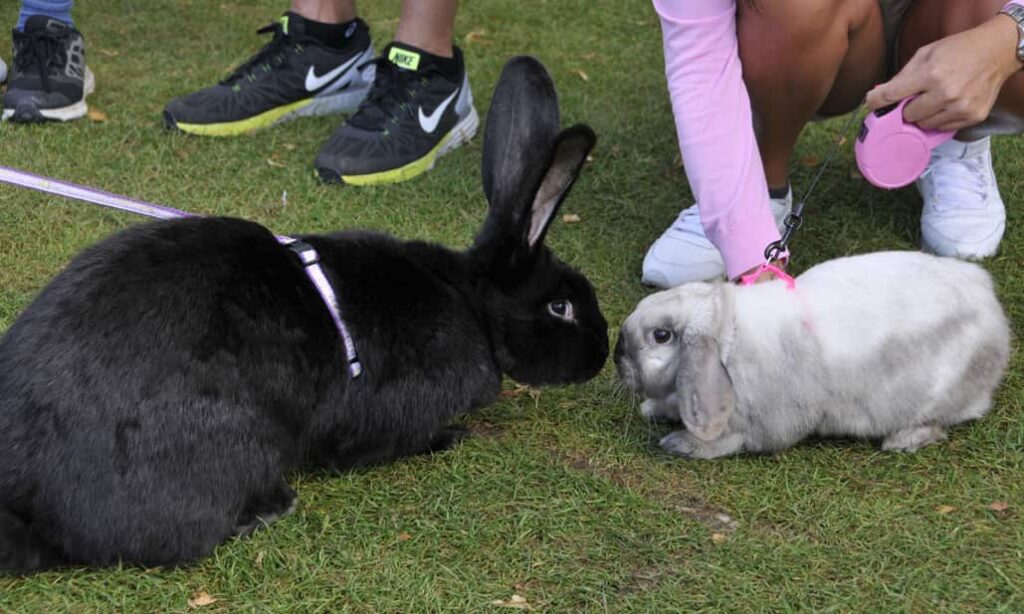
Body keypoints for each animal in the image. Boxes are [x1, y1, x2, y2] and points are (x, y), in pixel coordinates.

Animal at [0, 57, 606, 568]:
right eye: (561, 306)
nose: (602, 354)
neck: (469, 300)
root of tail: (29, 503)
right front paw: (452, 437)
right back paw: (270, 509)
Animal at [610, 251, 1011, 458]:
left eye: (661, 336)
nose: (616, 356)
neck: (729, 341)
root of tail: (988, 300)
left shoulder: (765, 425)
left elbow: (729, 443)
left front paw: (681, 443)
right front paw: (654, 409)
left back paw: (903, 440)